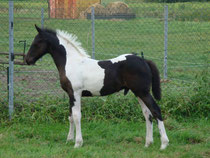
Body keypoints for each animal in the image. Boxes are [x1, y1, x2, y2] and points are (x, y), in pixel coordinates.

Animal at [25, 25, 169, 149]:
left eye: (37, 42)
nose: (27, 60)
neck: (71, 62)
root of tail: (144, 61)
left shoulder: (76, 93)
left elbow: (77, 116)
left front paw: (77, 143)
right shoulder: (70, 94)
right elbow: (70, 117)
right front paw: (69, 139)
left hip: (143, 92)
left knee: (156, 111)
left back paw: (163, 144)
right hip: (138, 93)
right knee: (147, 114)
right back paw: (148, 143)